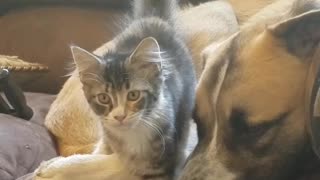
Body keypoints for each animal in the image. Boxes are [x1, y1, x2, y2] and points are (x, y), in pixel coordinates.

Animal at [70, 0, 196, 179]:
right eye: (104, 98)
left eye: (133, 95)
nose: (120, 117)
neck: (133, 136)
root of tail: (154, 19)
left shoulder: (163, 162)